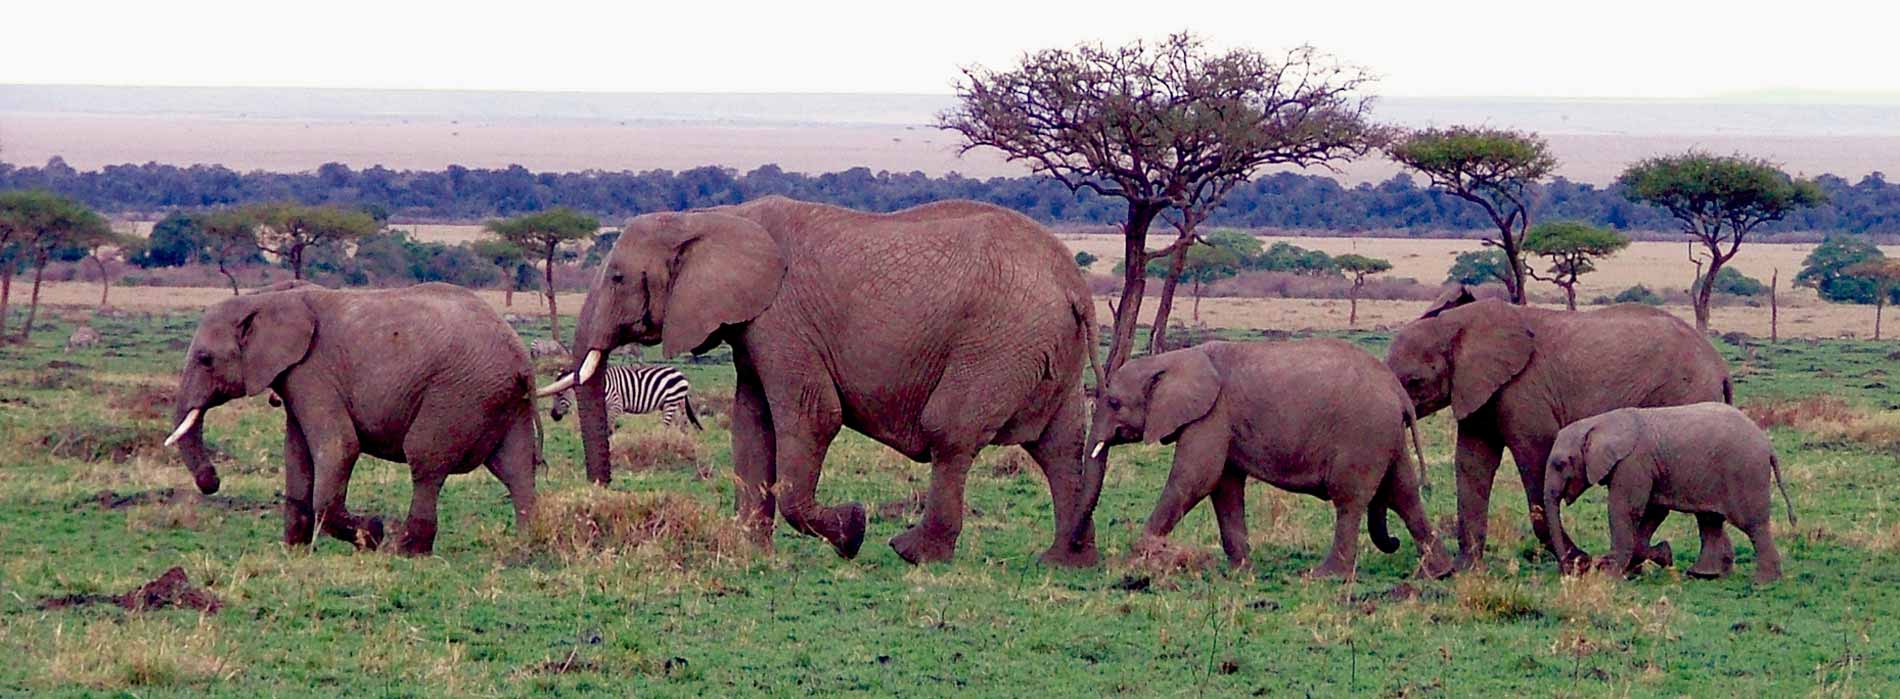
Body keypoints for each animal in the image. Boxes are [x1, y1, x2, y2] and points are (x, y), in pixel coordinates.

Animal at [165, 282, 540, 555]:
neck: (267, 296)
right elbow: (296, 454)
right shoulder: (294, 377)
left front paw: (371, 534)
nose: (212, 480)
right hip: (501, 398)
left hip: (457, 392)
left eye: (205, 359)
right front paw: (293, 551)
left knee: (425, 462)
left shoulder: (312, 372)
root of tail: (522, 359)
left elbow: (338, 446)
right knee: (517, 469)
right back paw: (525, 545)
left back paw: (405, 551)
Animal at [541, 196, 1103, 566]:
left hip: (999, 341)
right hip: (1044, 348)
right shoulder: (752, 328)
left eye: (617, 278)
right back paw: (1065, 562)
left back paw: (913, 554)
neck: (712, 217)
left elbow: (811, 418)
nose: (600, 499)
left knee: (950, 433)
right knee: (1060, 447)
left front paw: (852, 531)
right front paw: (753, 551)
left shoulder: (782, 321)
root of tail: (1075, 285)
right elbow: (751, 426)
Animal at [1090, 340, 1452, 579]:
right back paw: (1438, 573)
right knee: (1404, 493)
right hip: (1387, 435)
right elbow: (1224, 488)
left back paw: (1325, 576)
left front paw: (1134, 558)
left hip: (1364, 432)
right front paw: (1241, 572)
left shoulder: (1213, 414)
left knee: (1350, 500)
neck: (1174, 358)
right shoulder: (1222, 420)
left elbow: (1195, 479)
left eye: (1114, 402)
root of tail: (1398, 391)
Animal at [1384, 287, 1731, 570]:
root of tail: (1721, 367)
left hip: (1685, 395)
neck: (1457, 324)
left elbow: (1535, 456)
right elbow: (1472, 464)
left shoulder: (1525, 391)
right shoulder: (1476, 390)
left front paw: (1579, 563)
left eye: (1414, 381)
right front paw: (1464, 570)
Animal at [1543, 403, 1794, 583]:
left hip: (1745, 473)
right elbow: (1654, 510)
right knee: (1710, 521)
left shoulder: (1633, 463)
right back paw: (1703, 575)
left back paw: (1763, 582)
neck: (1600, 422)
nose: (1571, 571)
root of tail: (1768, 445)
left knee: (1752, 525)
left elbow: (1627, 509)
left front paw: (1607, 573)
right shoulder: (1650, 468)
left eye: (1560, 464)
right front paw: (1663, 555)